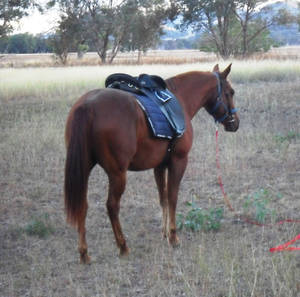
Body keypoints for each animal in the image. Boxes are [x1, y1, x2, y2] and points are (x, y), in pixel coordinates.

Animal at [65, 63, 239, 262]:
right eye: (230, 92)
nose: (235, 123)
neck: (180, 99)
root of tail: (87, 106)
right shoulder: (179, 161)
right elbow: (172, 197)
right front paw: (173, 236)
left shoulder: (159, 165)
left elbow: (163, 199)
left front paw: (165, 232)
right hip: (117, 174)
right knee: (112, 206)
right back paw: (123, 246)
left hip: (84, 168)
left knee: (82, 205)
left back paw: (84, 253)